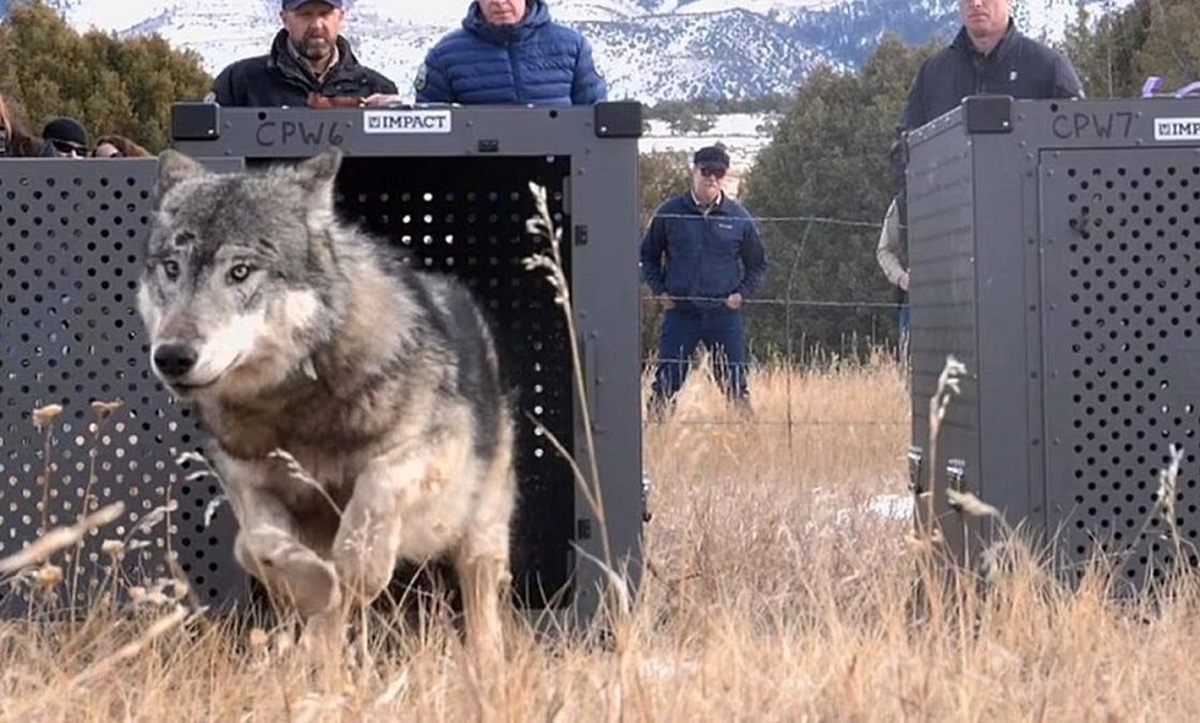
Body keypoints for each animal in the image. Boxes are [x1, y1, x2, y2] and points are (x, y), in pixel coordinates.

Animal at [137, 146, 520, 658]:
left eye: (240, 271)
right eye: (171, 269)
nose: (173, 357)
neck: (295, 407)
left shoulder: (436, 450)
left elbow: (377, 485)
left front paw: (361, 565)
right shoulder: (247, 483)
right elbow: (257, 546)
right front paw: (315, 587)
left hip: (480, 534)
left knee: (482, 610)